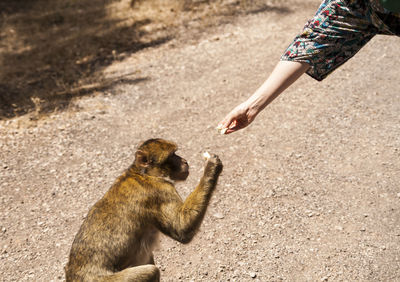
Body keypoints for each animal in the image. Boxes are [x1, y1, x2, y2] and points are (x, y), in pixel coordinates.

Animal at [65, 139, 222, 282]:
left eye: (176, 153)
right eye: (172, 155)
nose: (185, 161)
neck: (143, 173)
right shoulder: (160, 192)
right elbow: (182, 229)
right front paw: (211, 167)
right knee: (151, 271)